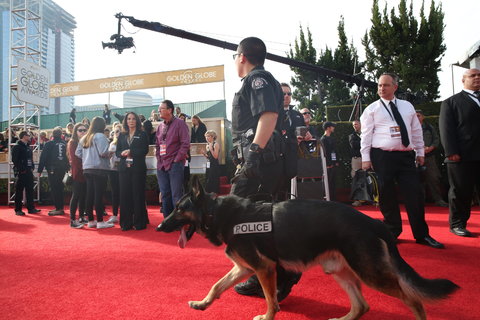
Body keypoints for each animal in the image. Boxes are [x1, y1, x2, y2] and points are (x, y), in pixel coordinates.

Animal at [158, 178, 458, 320]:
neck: (216, 212)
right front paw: (203, 304)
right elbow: (217, 285)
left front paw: (267, 316)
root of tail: (373, 222)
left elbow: (271, 300)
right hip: (340, 272)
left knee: (413, 299)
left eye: (179, 209)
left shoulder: (264, 269)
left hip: (370, 273)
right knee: (362, 306)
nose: (160, 226)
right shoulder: (244, 268)